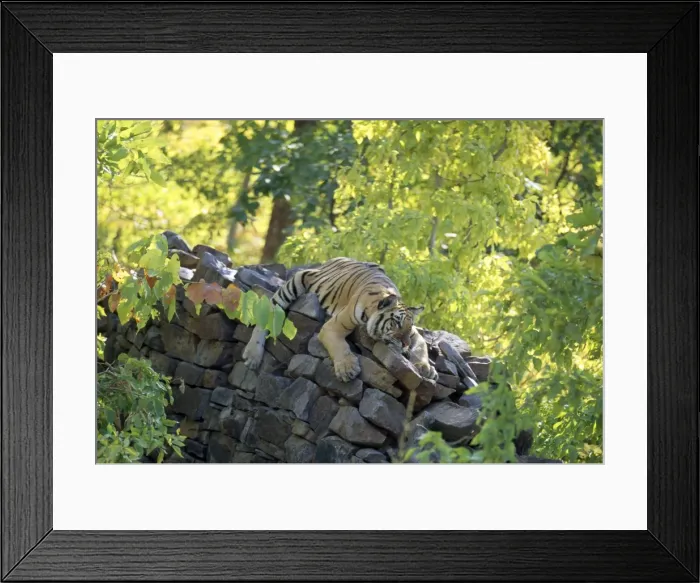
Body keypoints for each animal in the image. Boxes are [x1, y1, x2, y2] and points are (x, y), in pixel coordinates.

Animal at [242, 257, 439, 383]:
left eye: (409, 327)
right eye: (397, 323)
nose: (405, 345)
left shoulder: (415, 335)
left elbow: (422, 346)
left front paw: (427, 368)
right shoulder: (333, 326)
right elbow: (340, 346)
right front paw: (347, 369)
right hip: (295, 283)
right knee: (267, 315)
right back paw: (252, 356)